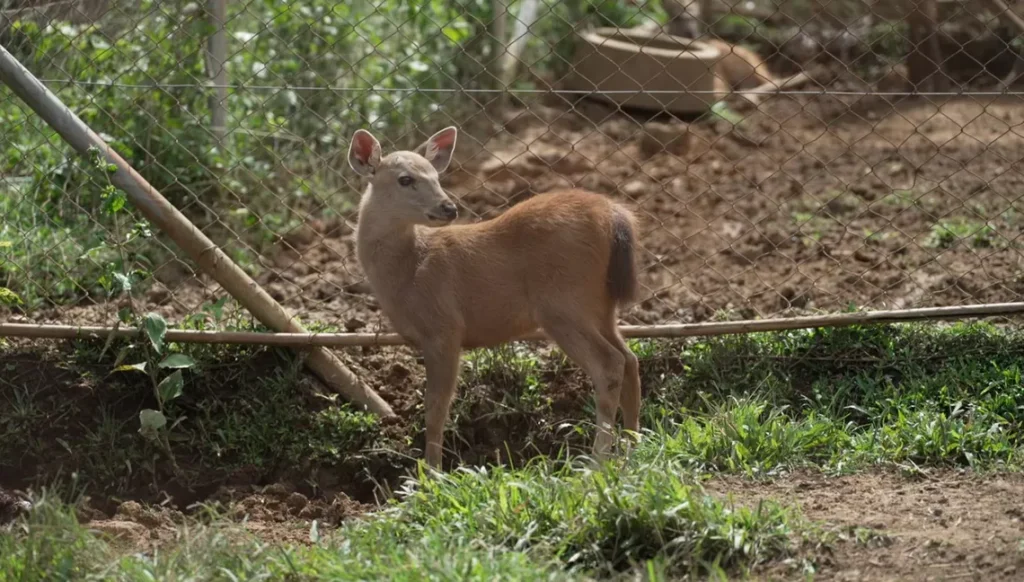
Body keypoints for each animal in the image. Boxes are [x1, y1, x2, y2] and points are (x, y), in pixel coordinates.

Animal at [348, 126, 643, 469]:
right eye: (405, 179)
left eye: (436, 176)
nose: (449, 208)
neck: (409, 269)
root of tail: (614, 215)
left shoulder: (444, 328)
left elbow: (436, 409)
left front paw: (431, 473)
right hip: (600, 306)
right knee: (630, 359)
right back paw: (633, 450)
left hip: (563, 304)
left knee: (610, 365)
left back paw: (598, 461)